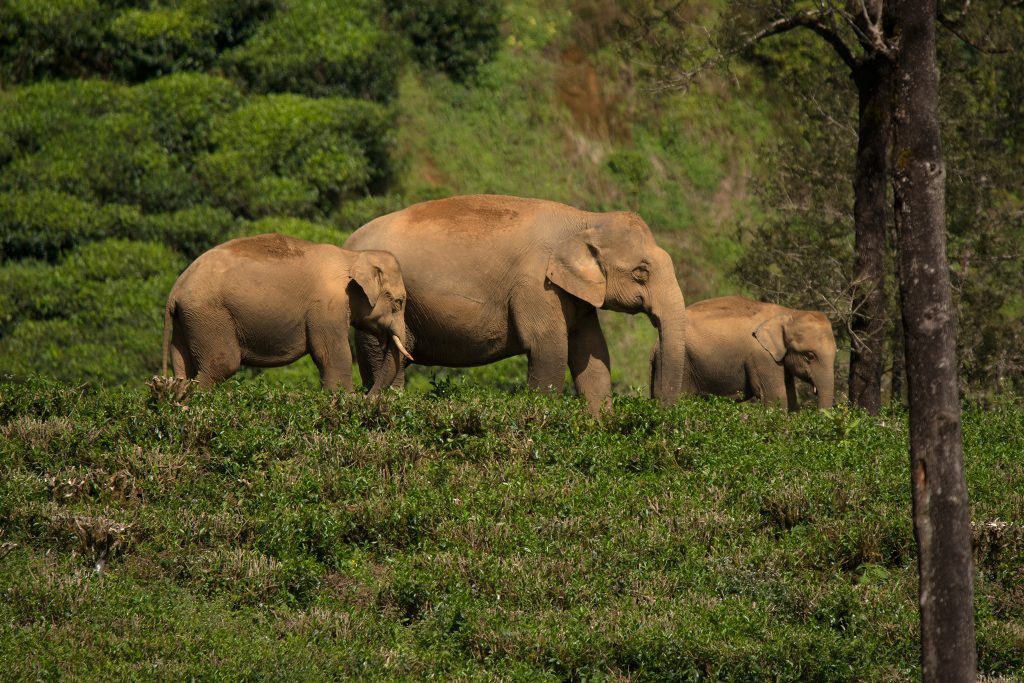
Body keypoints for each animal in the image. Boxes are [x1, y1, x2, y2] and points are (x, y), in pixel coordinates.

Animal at [161, 233, 412, 394]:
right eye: (398, 302)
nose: (367, 398)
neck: (352, 255)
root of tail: (175, 289)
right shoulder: (327, 308)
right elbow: (333, 356)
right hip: (210, 315)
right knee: (222, 364)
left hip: (188, 319)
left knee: (182, 365)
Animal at [344, 194, 687, 414]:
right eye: (641, 272)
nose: (659, 411)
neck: (585, 219)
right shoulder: (536, 285)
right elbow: (548, 349)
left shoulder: (574, 295)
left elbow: (592, 352)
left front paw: (599, 426)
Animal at [650, 295, 836, 410]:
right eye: (809, 356)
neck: (788, 313)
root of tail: (655, 345)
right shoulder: (762, 357)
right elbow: (776, 398)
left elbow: (790, 398)